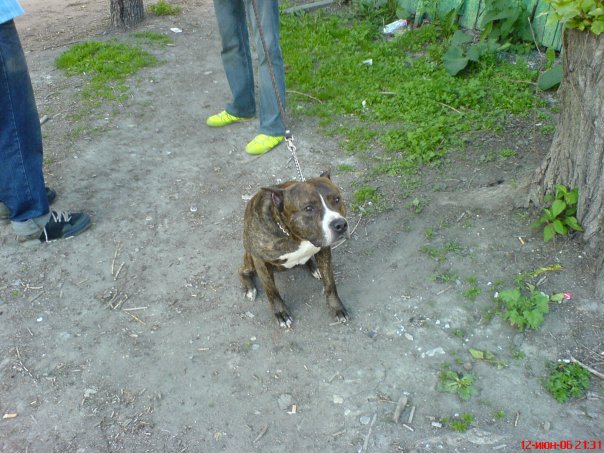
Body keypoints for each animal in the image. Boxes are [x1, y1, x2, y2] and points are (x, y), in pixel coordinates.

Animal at [239, 171, 349, 328]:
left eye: (337, 199)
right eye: (308, 208)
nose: (340, 225)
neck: (295, 236)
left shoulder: (324, 250)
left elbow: (330, 284)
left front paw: (336, 308)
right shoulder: (260, 261)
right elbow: (271, 291)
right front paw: (281, 313)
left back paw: (315, 268)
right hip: (249, 257)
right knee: (242, 270)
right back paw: (249, 288)